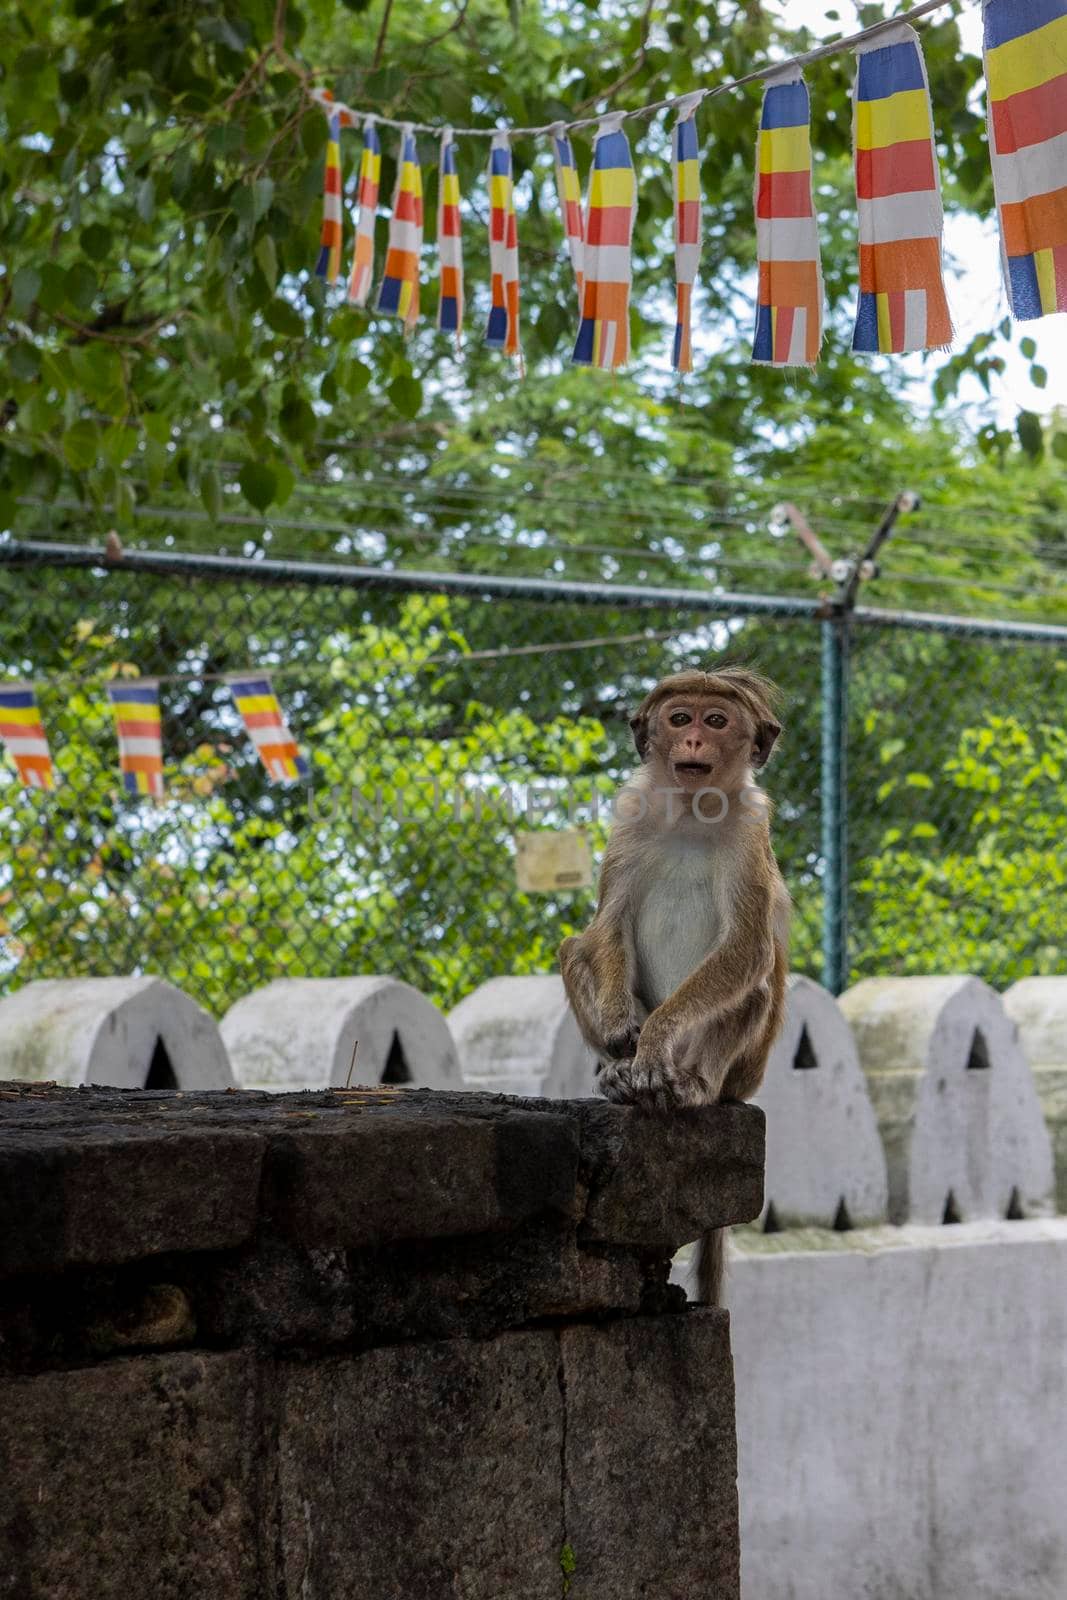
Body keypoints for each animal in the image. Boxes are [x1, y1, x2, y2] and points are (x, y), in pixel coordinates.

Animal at [563, 668, 790, 1305]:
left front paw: (656, 1037)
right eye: (679, 718)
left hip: (744, 1073)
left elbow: (747, 950)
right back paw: (619, 1074)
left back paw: (690, 1085)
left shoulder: (751, 829)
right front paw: (624, 1030)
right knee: (573, 950)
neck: (692, 811)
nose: (693, 741)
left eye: (716, 721)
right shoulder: (629, 818)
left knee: (755, 987)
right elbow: (606, 927)